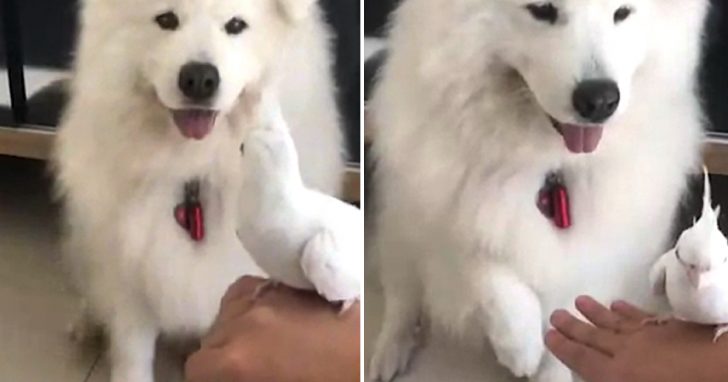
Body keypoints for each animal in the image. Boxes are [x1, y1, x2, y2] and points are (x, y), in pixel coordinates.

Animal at [54, 0, 344, 382]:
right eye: (166, 20)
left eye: (235, 25)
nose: (199, 79)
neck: (194, 169)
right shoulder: (131, 275)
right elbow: (132, 353)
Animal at [370, 0, 704, 382]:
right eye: (542, 10)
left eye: (622, 14)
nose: (600, 99)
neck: (550, 164)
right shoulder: (439, 208)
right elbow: (482, 261)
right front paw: (519, 345)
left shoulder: (597, 251)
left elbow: (566, 316)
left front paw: (548, 369)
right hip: (400, 238)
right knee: (402, 301)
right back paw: (389, 352)